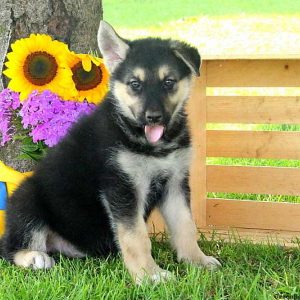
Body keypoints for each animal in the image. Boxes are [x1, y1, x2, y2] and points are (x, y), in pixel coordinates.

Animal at [0, 21, 220, 284]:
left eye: (169, 82)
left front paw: (196, 261)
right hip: (27, 197)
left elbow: (185, 225)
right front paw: (149, 275)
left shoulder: (175, 182)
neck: (149, 144)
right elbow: (136, 237)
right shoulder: (121, 187)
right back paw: (34, 257)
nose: (153, 117)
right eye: (135, 84)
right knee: (9, 247)